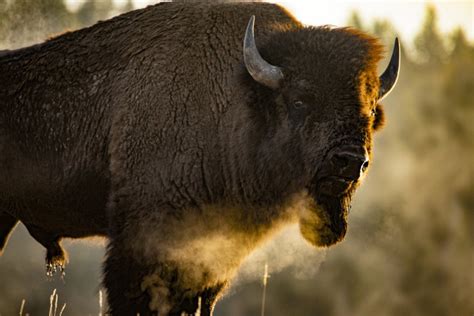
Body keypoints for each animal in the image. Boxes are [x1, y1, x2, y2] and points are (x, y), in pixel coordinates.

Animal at [0, 2, 400, 316]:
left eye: (369, 113)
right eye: (301, 99)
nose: (351, 160)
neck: (237, 101)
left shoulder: (214, 250)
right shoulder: (143, 240)